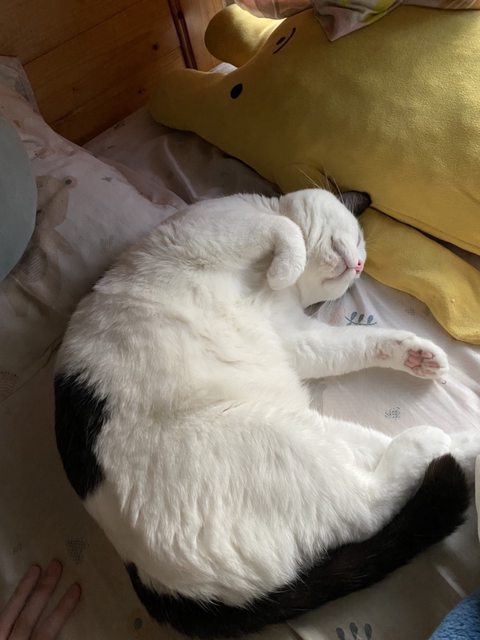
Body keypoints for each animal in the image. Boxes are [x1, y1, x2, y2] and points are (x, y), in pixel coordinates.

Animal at [54, 189, 479, 638]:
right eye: (360, 239)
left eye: (363, 257)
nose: (360, 264)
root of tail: (152, 581)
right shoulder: (220, 227)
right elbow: (287, 230)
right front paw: (284, 265)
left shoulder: (299, 338)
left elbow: (357, 343)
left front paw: (416, 355)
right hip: (280, 435)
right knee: (366, 505)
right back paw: (425, 441)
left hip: (309, 433)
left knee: (380, 481)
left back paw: (459, 441)